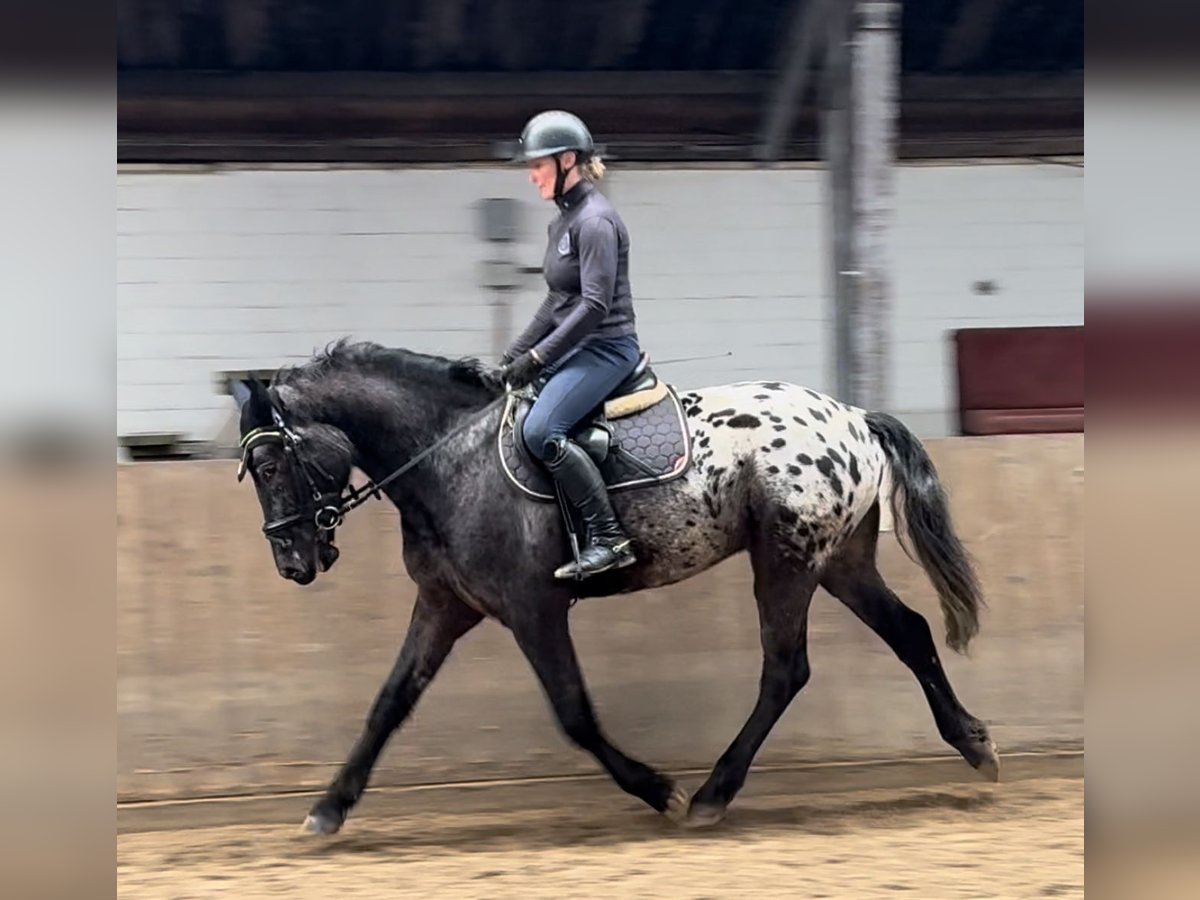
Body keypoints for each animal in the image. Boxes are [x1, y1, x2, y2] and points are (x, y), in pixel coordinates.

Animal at [229, 340, 998, 840]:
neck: (448, 458)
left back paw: (712, 794)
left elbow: (574, 714)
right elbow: (388, 704)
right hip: (839, 561)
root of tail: (854, 417)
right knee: (909, 632)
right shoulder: (446, 605)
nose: (293, 562)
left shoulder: (533, 609)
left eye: (268, 465)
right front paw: (328, 808)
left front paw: (659, 790)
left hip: (786, 560)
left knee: (786, 669)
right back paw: (974, 744)